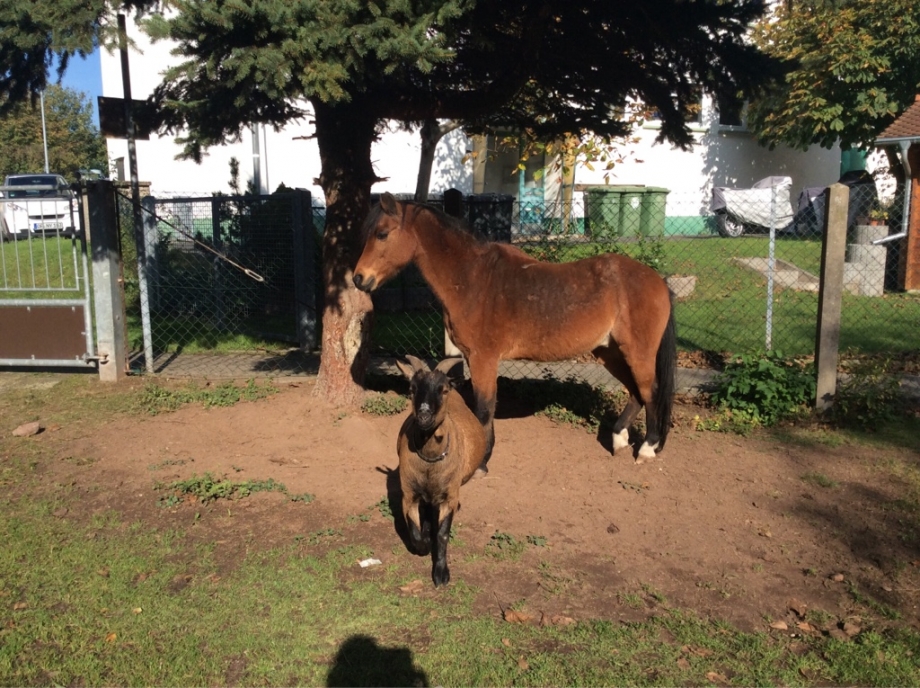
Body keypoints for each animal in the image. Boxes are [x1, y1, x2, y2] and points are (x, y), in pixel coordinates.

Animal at [352, 194, 676, 468]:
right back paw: (619, 439)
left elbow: (484, 409)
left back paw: (647, 448)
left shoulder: (483, 359)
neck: (473, 279)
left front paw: (481, 461)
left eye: (382, 234)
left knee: (650, 391)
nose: (359, 278)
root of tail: (657, 280)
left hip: (636, 352)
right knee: (636, 391)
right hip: (610, 352)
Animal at [396, 354, 488, 584]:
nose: (424, 416)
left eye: (443, 390)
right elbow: (414, 532)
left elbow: (443, 534)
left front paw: (441, 574)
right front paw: (425, 546)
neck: (429, 462)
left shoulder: (450, 496)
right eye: (412, 388)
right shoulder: (409, 494)